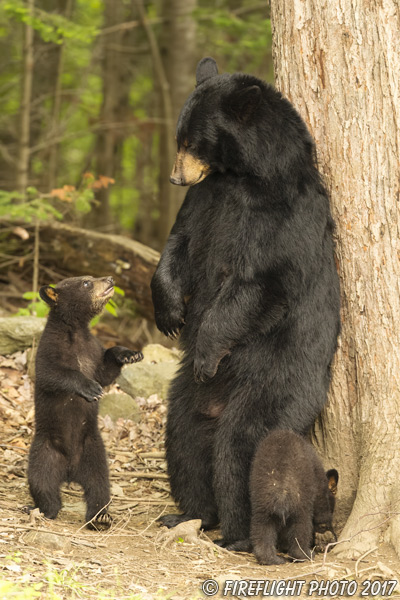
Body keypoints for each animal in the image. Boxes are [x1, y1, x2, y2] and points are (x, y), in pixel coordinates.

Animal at [27, 274, 142, 528]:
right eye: (86, 283)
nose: (110, 278)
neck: (75, 331)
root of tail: (70, 471)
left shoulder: (92, 350)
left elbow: (105, 371)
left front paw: (130, 353)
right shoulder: (49, 348)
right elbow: (52, 373)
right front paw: (90, 388)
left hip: (93, 450)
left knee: (99, 486)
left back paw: (100, 518)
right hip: (45, 451)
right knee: (41, 483)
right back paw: (43, 509)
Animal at [151, 58, 340, 548]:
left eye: (192, 142)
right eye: (178, 140)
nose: (175, 177)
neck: (244, 177)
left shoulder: (283, 216)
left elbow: (258, 286)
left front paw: (204, 350)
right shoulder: (205, 199)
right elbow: (180, 243)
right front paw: (170, 313)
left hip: (276, 383)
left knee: (243, 446)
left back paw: (237, 534)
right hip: (186, 400)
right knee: (184, 441)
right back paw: (189, 514)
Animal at [247, 432, 338, 564]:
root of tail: (280, 494)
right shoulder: (316, 474)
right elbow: (320, 503)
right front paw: (326, 529)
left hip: (263, 506)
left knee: (261, 528)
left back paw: (270, 559)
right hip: (299, 504)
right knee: (301, 527)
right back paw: (305, 555)